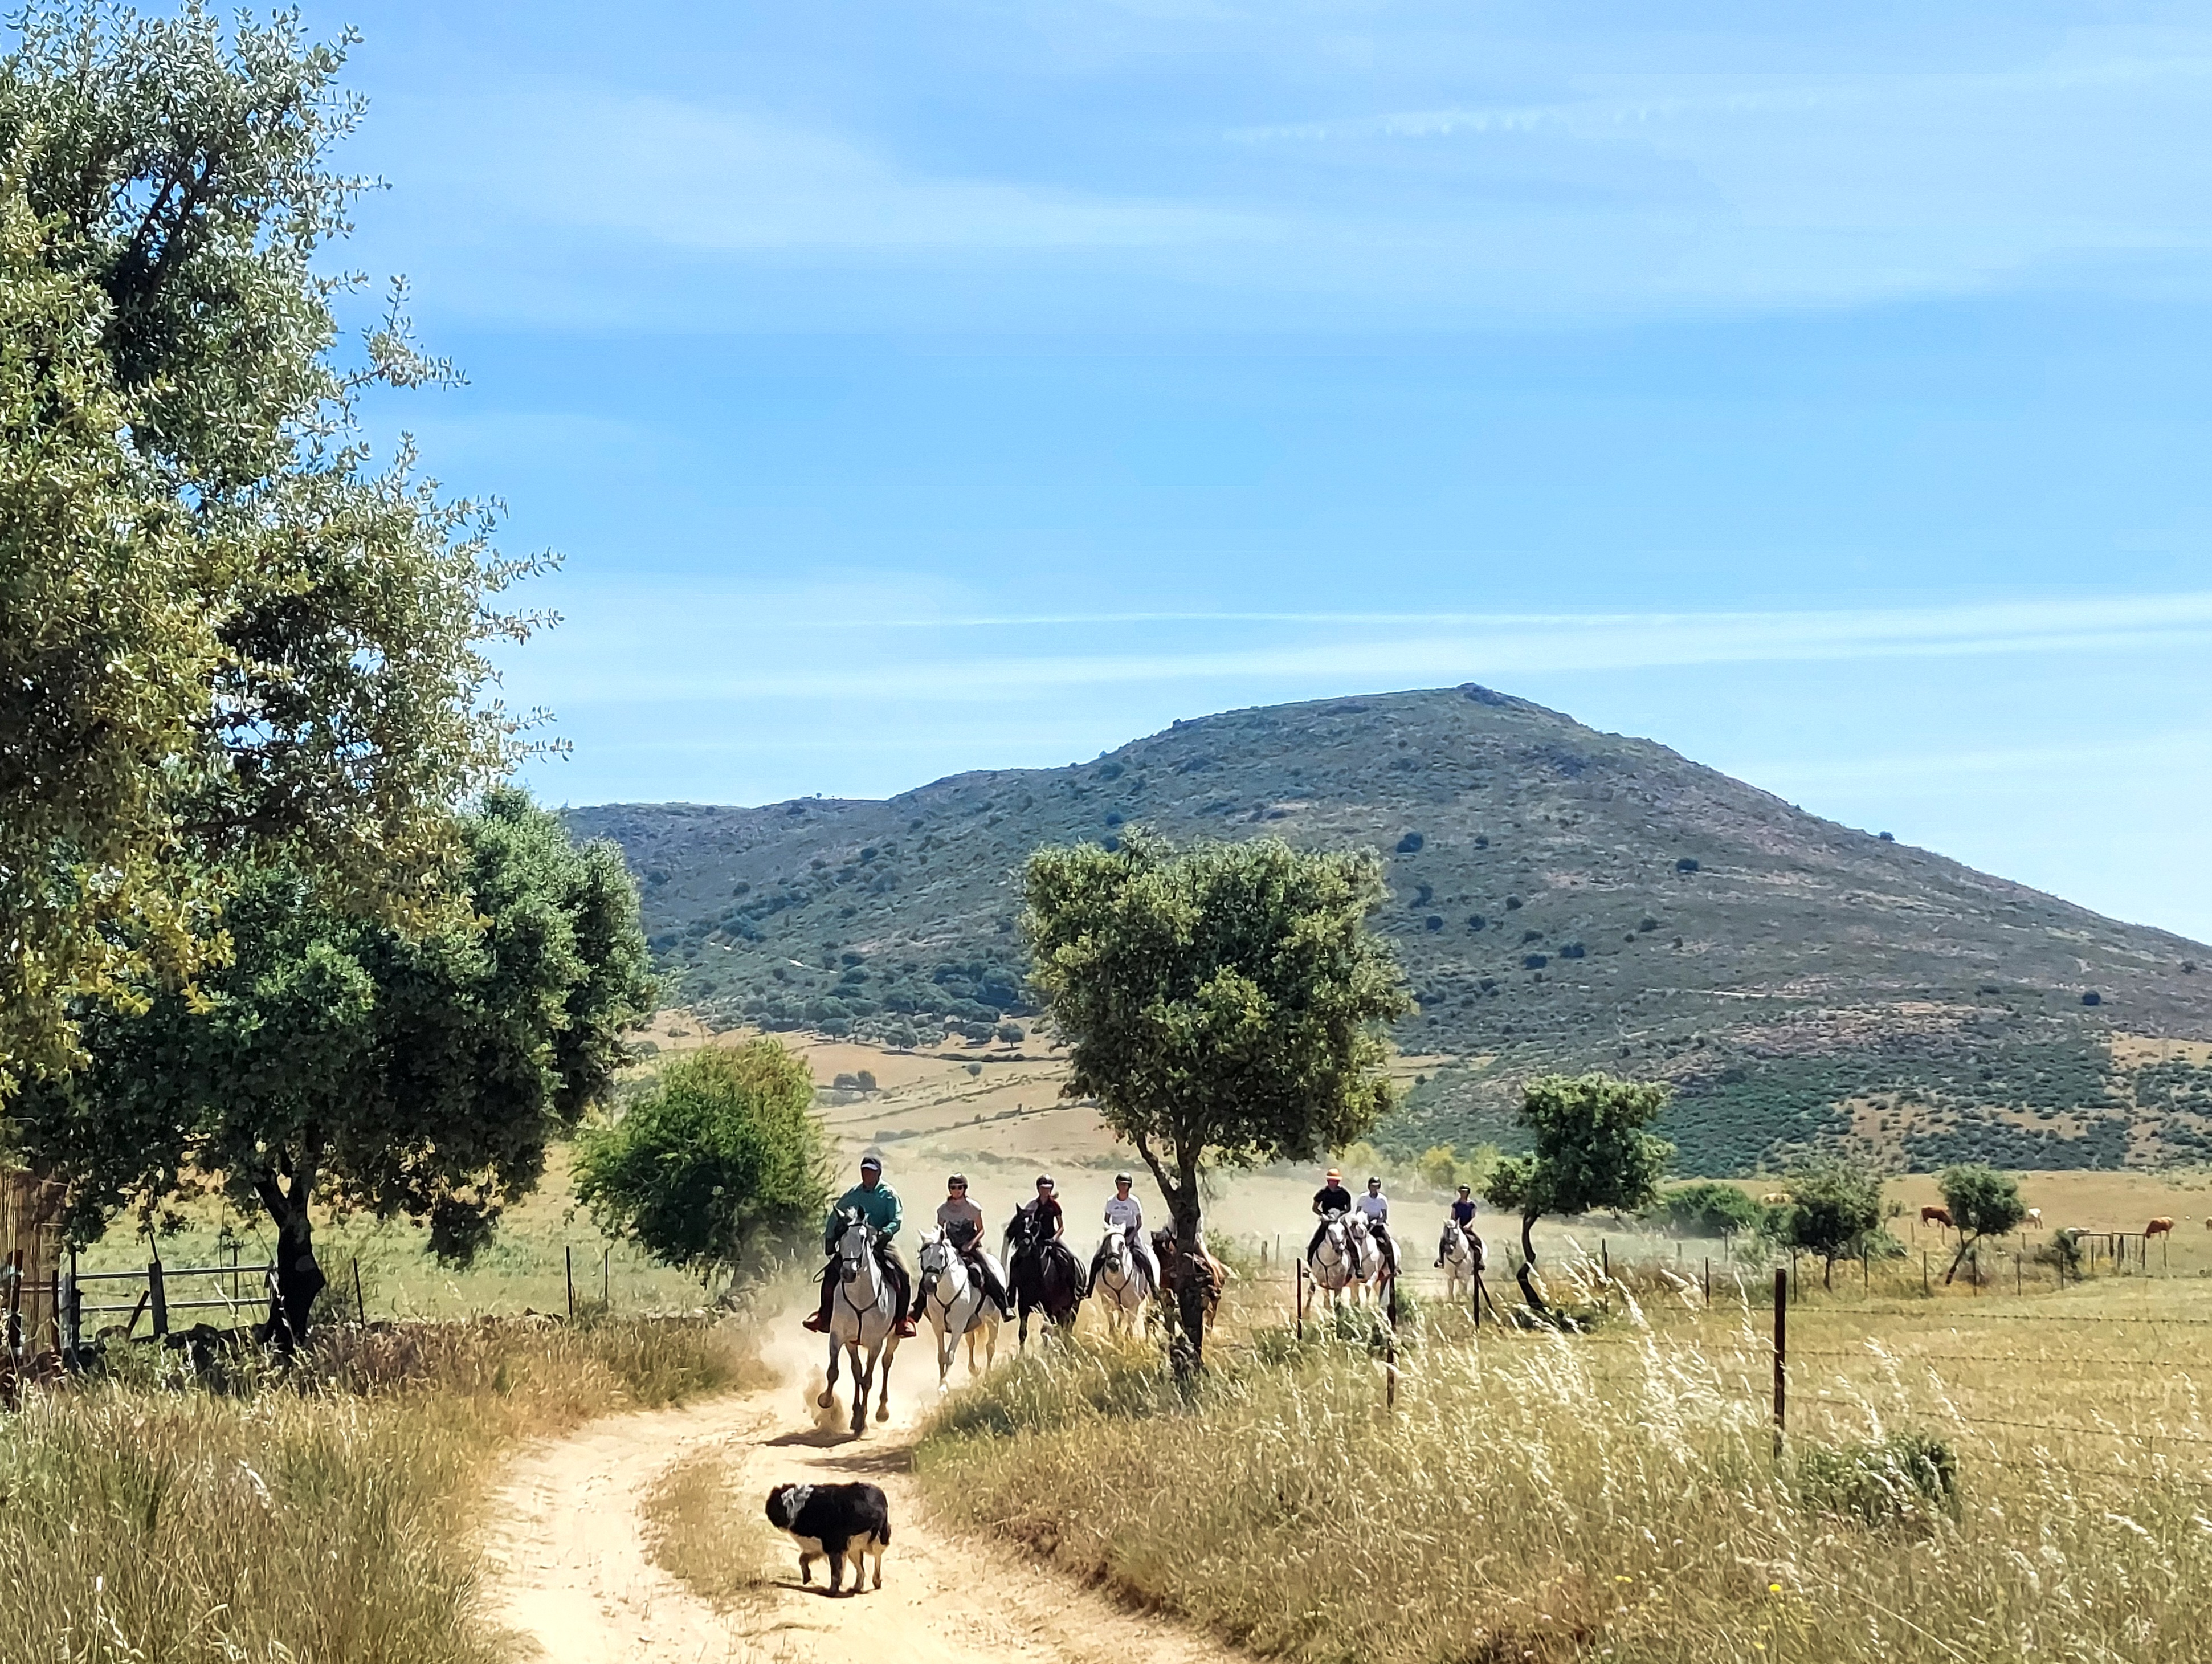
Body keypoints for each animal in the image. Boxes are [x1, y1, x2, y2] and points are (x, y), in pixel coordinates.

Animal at [817, 1209, 900, 1436]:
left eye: (863, 1237)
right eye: (841, 1235)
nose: (848, 1272)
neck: (861, 1296)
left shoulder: (875, 1344)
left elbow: (868, 1380)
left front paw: (862, 1419)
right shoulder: (841, 1338)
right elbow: (838, 1372)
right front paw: (827, 1401)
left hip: (894, 1338)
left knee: (887, 1363)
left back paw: (881, 1411)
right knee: (858, 1373)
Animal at [914, 1227, 998, 1392]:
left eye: (941, 1256)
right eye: (922, 1256)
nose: (929, 1285)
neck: (948, 1291)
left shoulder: (958, 1327)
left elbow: (950, 1356)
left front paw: (944, 1387)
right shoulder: (938, 1326)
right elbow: (941, 1356)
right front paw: (941, 1383)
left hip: (993, 1319)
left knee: (990, 1347)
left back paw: (988, 1375)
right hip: (972, 1324)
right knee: (972, 1343)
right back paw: (974, 1369)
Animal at [1003, 1208, 1084, 1348]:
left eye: (1035, 1225)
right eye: (1020, 1223)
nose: (1024, 1246)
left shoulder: (1050, 1307)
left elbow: (1047, 1332)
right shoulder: (1023, 1304)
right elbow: (1023, 1333)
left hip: (1072, 1307)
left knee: (1066, 1329)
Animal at [1090, 1227, 1154, 1338]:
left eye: (1122, 1244)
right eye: (1106, 1243)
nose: (1113, 1264)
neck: (1116, 1279)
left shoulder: (1133, 1306)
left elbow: (1130, 1325)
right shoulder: (1107, 1302)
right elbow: (1113, 1325)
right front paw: (1115, 1338)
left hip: (1149, 1299)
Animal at [1438, 1218, 1486, 1303]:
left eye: (1456, 1233)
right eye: (1445, 1231)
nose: (1448, 1249)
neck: (1457, 1256)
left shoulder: (1465, 1275)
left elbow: (1463, 1288)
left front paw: (1463, 1298)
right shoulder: (1451, 1276)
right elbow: (1451, 1288)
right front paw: (1451, 1301)